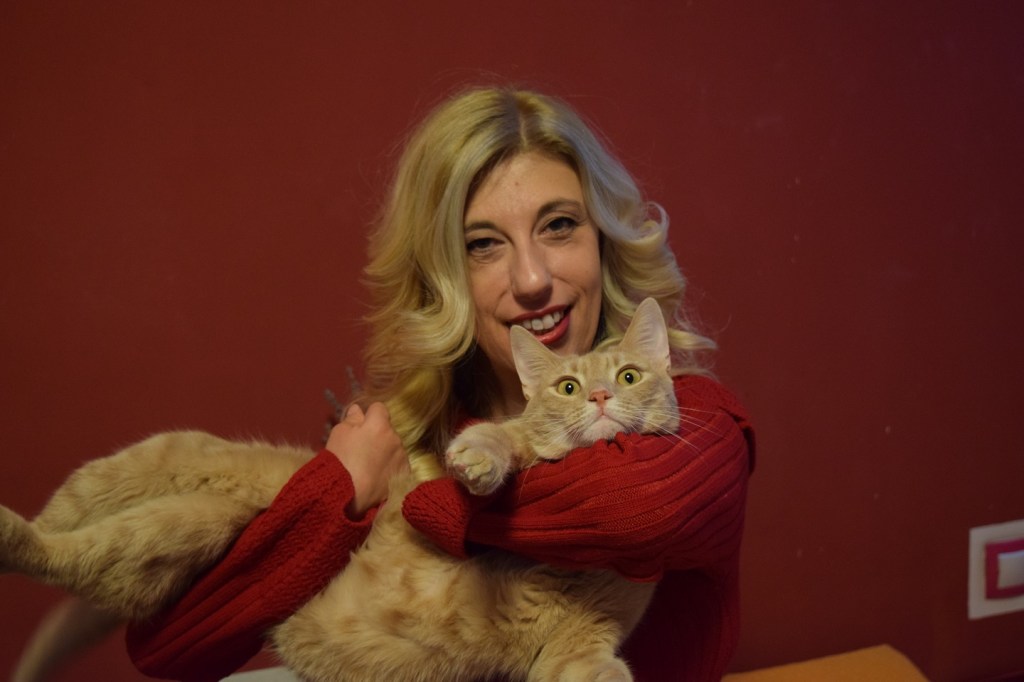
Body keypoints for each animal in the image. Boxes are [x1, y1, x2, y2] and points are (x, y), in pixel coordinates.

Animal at [1, 297, 680, 681]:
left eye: (628, 375)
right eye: (567, 387)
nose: (601, 396)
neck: (582, 569)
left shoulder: (577, 651)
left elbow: (598, 669)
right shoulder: (499, 448)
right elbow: (501, 440)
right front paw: (479, 465)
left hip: (170, 543)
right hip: (164, 494)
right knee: (62, 538)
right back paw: (16, 529)